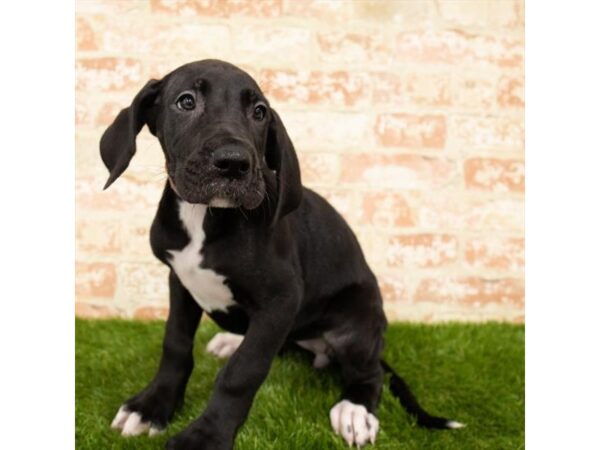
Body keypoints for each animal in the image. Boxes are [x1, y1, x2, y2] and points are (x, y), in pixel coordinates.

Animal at [101, 60, 462, 450]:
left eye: (259, 112)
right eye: (186, 101)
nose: (234, 163)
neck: (205, 217)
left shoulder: (282, 299)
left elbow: (242, 372)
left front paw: (205, 437)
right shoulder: (180, 280)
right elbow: (175, 344)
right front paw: (152, 407)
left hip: (356, 320)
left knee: (370, 373)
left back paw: (355, 410)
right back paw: (231, 339)